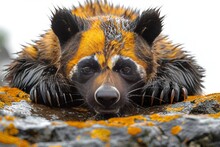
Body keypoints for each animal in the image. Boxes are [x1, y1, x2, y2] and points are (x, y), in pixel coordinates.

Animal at [5, 0, 205, 115]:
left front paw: (163, 86)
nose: (107, 96)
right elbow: (24, 65)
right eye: (87, 67)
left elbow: (185, 66)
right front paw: (51, 85)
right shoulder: (48, 46)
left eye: (126, 67)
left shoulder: (162, 48)